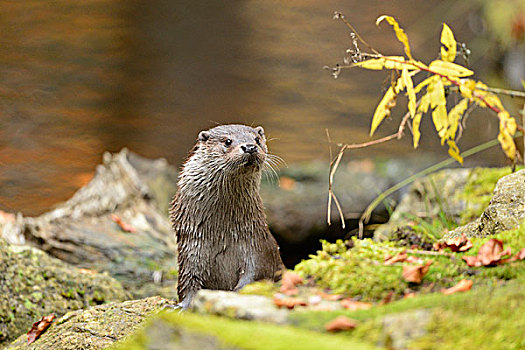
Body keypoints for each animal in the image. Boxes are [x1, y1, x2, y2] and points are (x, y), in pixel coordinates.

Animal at [169, 124, 282, 308]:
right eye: (227, 141)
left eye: (257, 139)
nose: (250, 147)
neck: (222, 234)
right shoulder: (191, 250)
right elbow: (188, 283)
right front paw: (181, 306)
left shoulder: (257, 246)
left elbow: (255, 275)